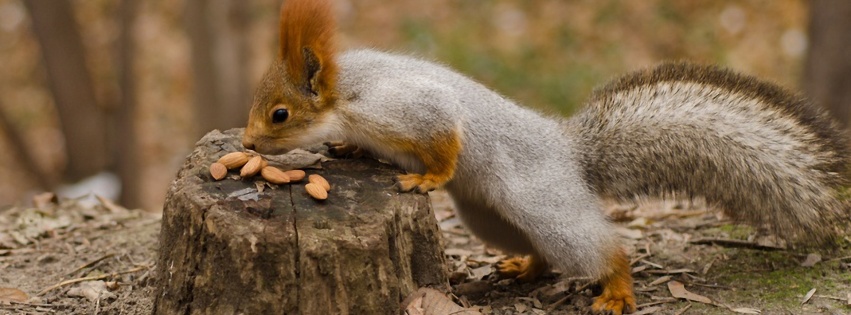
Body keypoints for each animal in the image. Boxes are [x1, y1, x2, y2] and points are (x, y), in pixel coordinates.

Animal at [241, 1, 851, 314]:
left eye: (280, 115)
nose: (246, 145)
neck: (345, 93)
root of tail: (571, 153)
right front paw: (346, 147)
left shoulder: (405, 108)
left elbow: (445, 135)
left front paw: (429, 177)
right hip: (489, 217)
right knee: (540, 253)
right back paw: (524, 267)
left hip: (544, 204)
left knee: (599, 250)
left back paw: (617, 290)